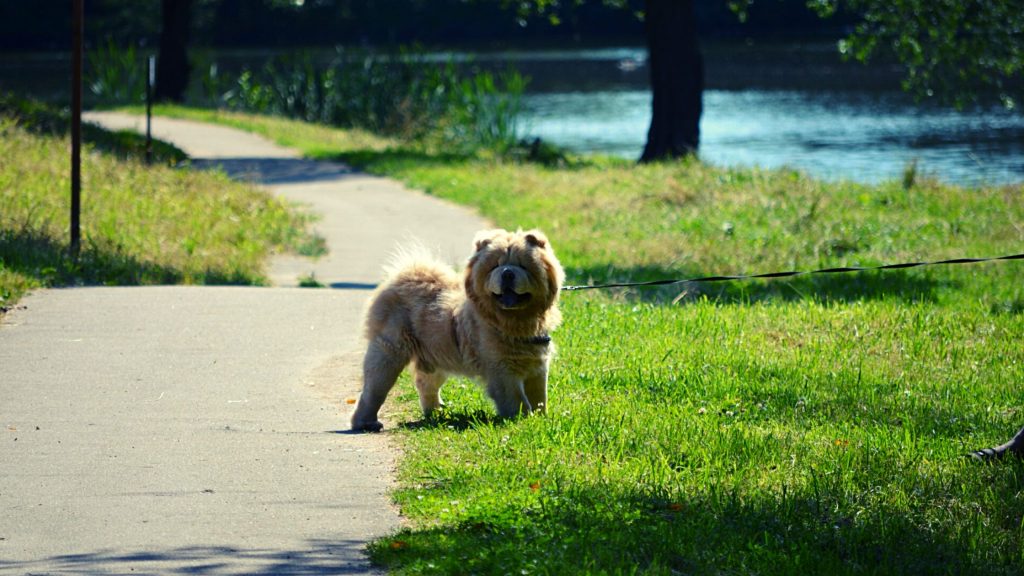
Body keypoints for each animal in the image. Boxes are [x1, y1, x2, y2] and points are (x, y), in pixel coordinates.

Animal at [350, 226, 561, 428]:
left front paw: (541, 418)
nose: (507, 273)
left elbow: (539, 397)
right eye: (495, 266)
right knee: (373, 390)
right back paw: (366, 422)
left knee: (425, 384)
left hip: (434, 357)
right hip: (390, 353)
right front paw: (522, 420)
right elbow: (517, 399)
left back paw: (435, 413)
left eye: (522, 266)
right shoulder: (502, 369)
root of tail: (399, 278)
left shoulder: (537, 365)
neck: (515, 321)